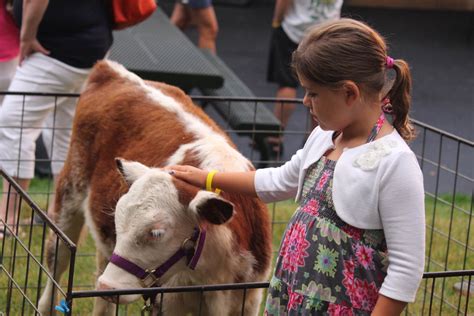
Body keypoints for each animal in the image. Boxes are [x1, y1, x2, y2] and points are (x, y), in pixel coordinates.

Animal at [38, 60, 270, 314]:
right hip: (69, 196)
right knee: (56, 264)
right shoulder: (167, 301)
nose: (108, 287)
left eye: (157, 232)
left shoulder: (248, 298)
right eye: (118, 221)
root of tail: (112, 70)